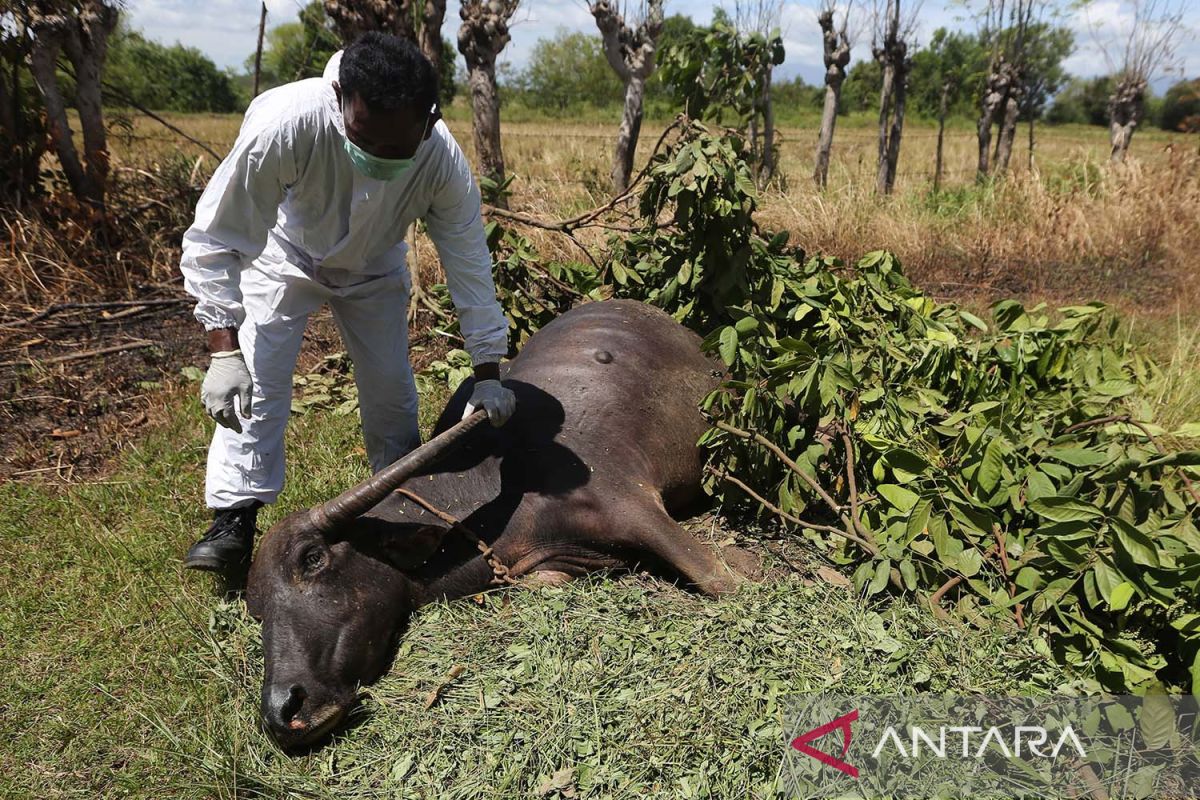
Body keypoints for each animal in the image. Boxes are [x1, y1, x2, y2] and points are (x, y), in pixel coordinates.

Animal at [243, 299, 748, 753]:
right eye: (257, 609)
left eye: (313, 558)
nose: (282, 709)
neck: (495, 490)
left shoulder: (631, 502)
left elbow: (722, 581)